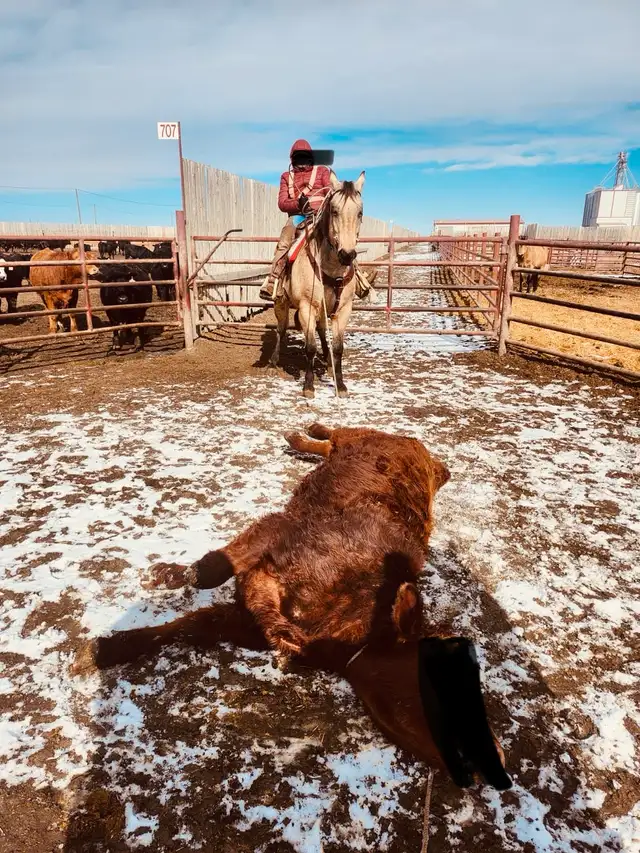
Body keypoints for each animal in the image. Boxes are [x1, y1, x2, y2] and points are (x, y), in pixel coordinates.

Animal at [270, 171, 365, 398]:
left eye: (360, 212)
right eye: (334, 210)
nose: (347, 255)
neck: (331, 270)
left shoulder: (343, 309)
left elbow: (338, 347)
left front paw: (340, 385)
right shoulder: (307, 307)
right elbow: (310, 348)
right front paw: (308, 386)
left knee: (322, 330)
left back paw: (328, 361)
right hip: (281, 304)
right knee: (281, 329)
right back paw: (274, 360)